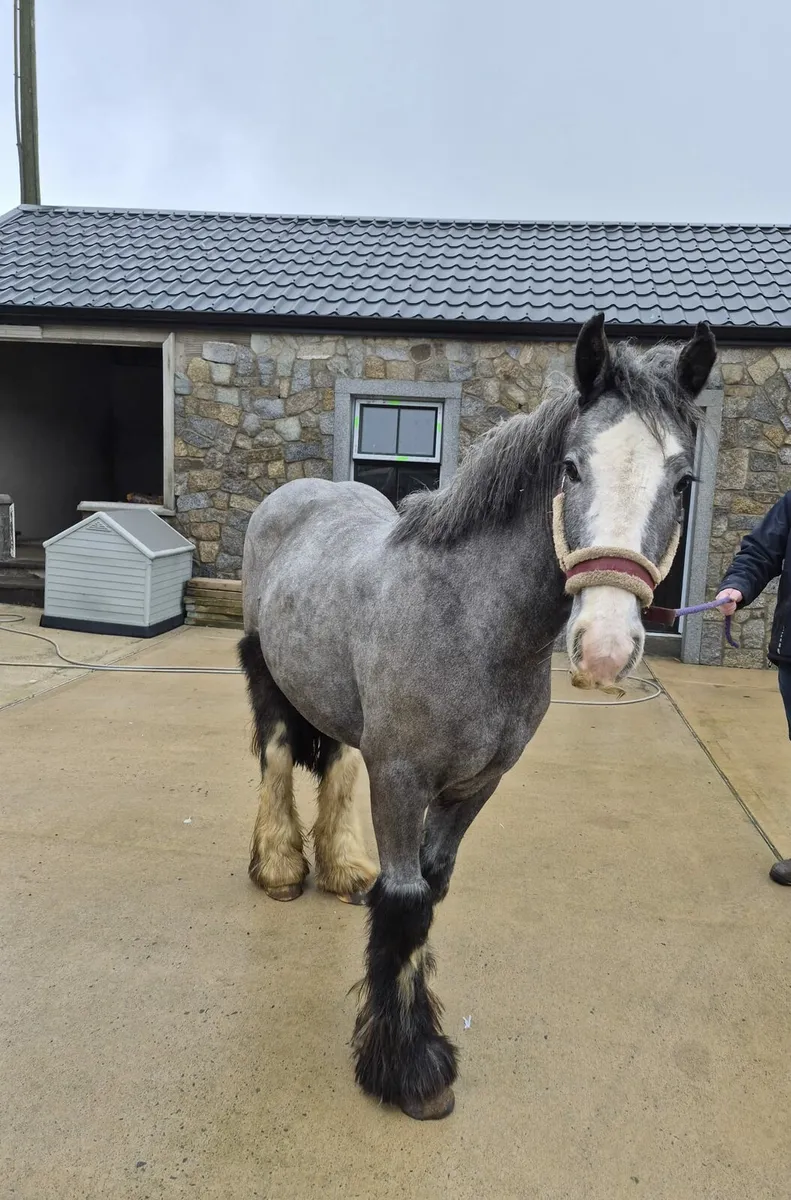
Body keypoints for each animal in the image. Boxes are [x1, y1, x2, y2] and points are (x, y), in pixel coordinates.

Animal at [237, 313, 716, 1120]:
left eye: (682, 482)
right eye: (571, 469)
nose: (605, 647)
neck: (469, 620)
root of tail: (296, 494)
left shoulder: (476, 786)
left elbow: (430, 891)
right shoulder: (402, 778)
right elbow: (404, 906)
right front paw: (411, 1071)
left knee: (334, 761)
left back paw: (341, 868)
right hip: (269, 673)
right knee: (276, 754)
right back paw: (278, 868)